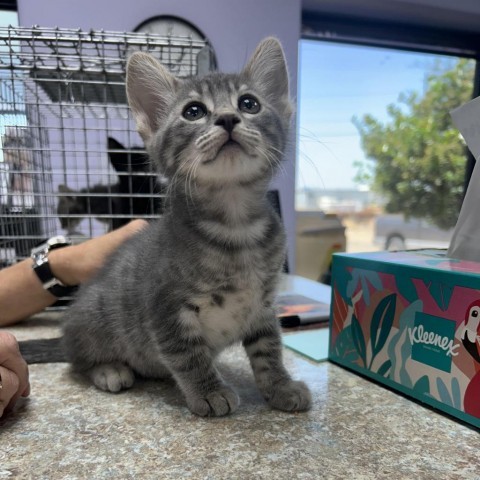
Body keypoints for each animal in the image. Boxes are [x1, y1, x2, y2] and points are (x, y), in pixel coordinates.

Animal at [21, 37, 312, 416]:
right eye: (193, 111)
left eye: (249, 104)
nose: (228, 118)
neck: (236, 228)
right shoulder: (164, 307)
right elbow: (186, 354)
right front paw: (209, 391)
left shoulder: (262, 304)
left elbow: (269, 350)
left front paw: (280, 386)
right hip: (93, 322)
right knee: (78, 361)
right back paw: (109, 370)